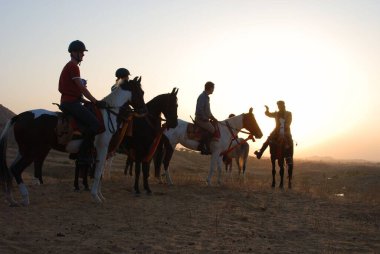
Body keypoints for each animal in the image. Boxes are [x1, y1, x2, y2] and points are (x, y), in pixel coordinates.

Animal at [0, 76, 146, 205]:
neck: (107, 115)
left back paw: (11, 199)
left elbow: (100, 174)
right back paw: (25, 198)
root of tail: (20, 116)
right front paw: (96, 196)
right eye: (141, 92)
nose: (144, 111)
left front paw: (100, 195)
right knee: (16, 170)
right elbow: (98, 173)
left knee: (10, 170)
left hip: (23, 150)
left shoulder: (104, 153)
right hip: (32, 151)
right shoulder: (102, 149)